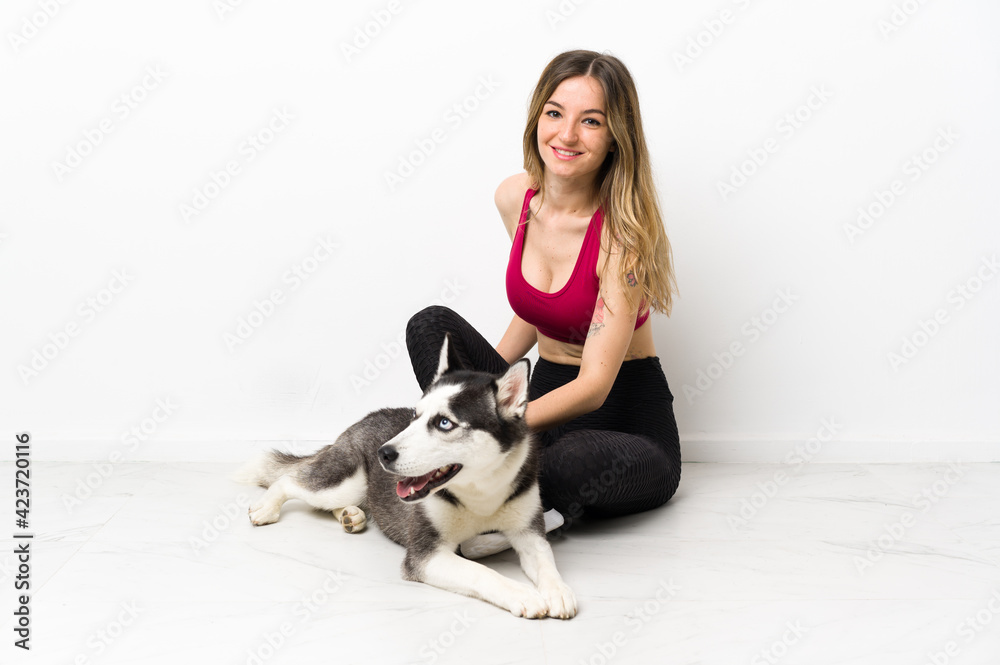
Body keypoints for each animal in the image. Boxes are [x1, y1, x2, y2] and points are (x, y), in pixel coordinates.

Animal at [235, 334, 580, 620]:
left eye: (444, 423)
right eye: (416, 416)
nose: (384, 453)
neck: (479, 492)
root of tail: (365, 419)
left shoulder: (528, 530)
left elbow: (545, 557)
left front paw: (558, 590)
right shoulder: (425, 555)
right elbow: (479, 570)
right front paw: (523, 593)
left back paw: (351, 516)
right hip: (345, 480)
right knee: (291, 481)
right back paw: (267, 507)